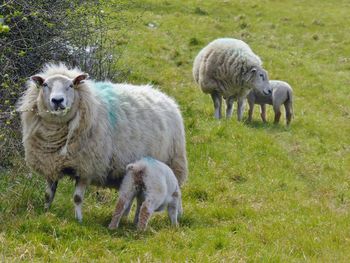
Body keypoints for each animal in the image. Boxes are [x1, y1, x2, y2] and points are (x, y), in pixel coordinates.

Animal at [17, 63, 189, 223]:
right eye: (45, 85)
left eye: (71, 85)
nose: (57, 100)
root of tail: (163, 95)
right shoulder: (50, 164)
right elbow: (48, 195)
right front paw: (45, 212)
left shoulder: (86, 167)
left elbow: (77, 198)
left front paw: (78, 220)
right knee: (134, 197)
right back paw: (127, 218)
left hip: (172, 163)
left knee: (172, 193)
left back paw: (175, 217)